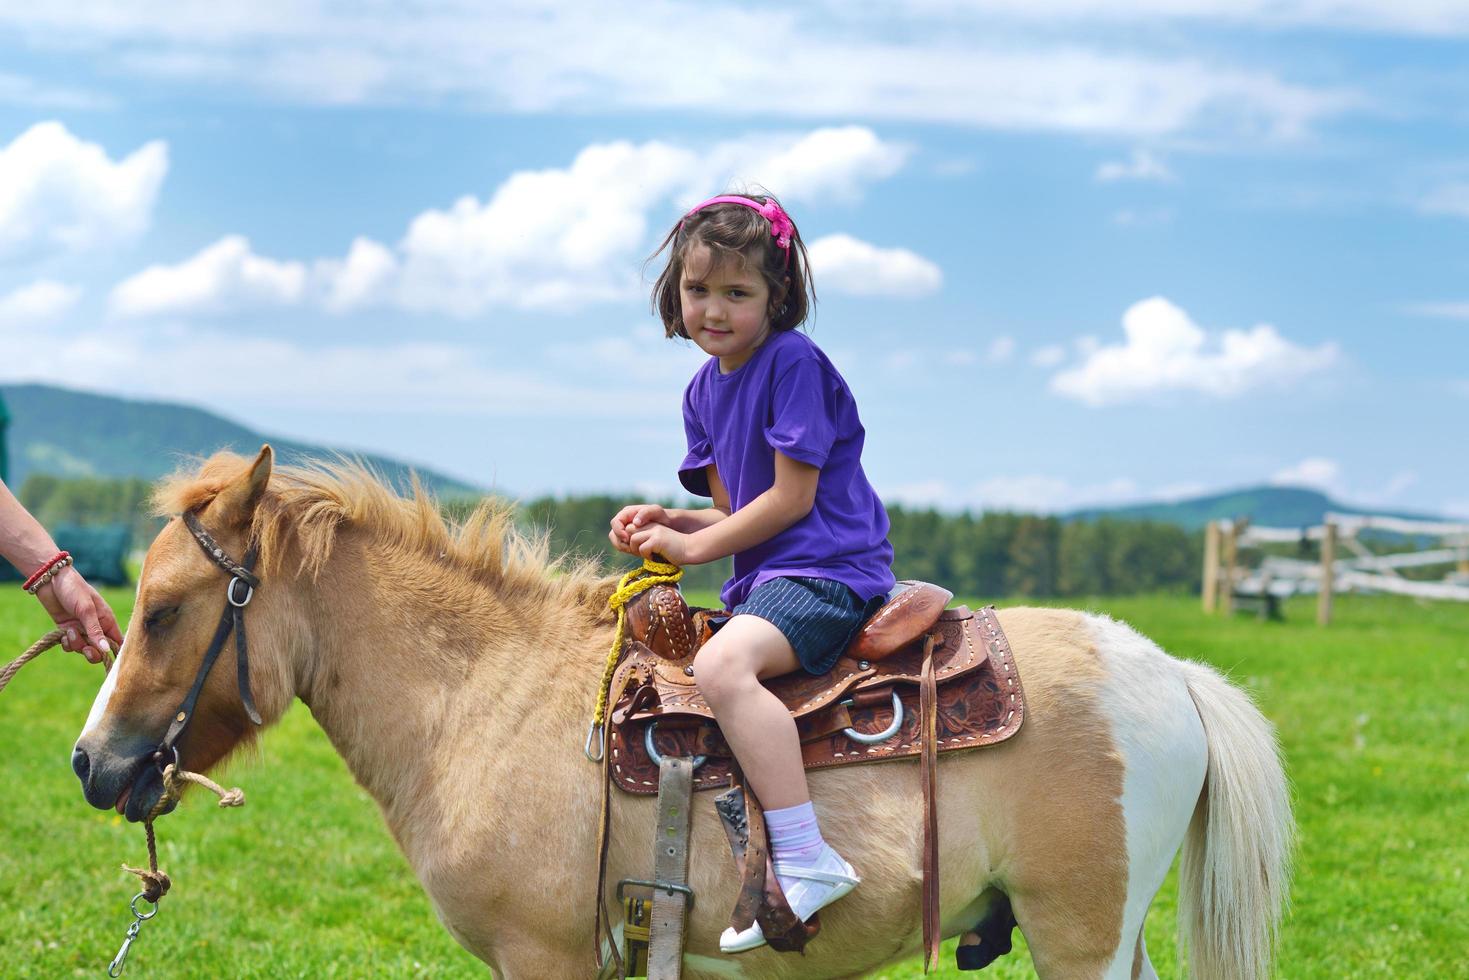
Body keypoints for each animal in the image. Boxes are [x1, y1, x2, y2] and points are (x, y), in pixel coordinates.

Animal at [69, 449, 1292, 975]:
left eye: (165, 610)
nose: (91, 763)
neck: (482, 695)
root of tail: (1172, 673)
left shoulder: (546, 959)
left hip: (1078, 937)